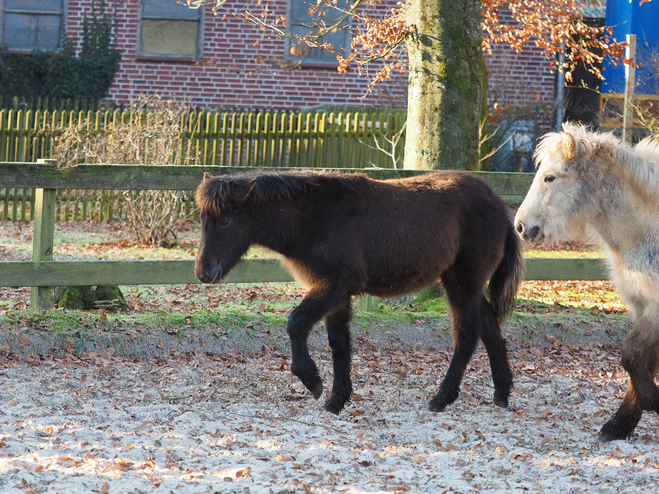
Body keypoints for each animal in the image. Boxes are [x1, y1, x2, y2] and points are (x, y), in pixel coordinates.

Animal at [196, 172, 524, 414]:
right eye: (201, 220)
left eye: (225, 220)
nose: (203, 272)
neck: (316, 218)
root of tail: (500, 207)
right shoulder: (337, 296)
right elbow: (339, 344)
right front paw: (336, 401)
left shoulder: (335, 286)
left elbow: (296, 323)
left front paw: (312, 381)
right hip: (466, 284)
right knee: (490, 328)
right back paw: (501, 394)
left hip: (462, 283)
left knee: (467, 335)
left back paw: (441, 398)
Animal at [516, 122, 659, 440]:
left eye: (550, 177)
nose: (520, 226)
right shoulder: (643, 307)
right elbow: (637, 359)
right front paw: (619, 425)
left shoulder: (655, 310)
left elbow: (631, 355)